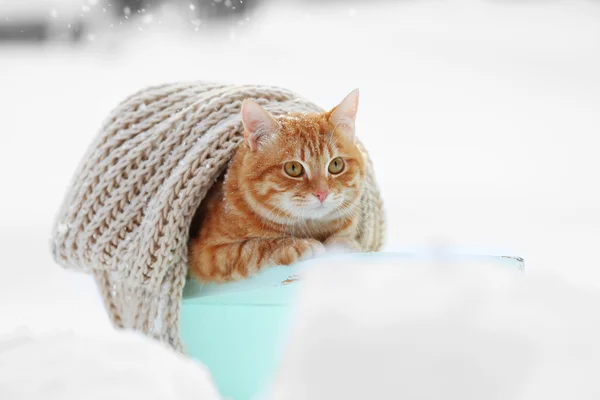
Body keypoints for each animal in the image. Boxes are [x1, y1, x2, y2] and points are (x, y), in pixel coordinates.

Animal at [188, 89, 366, 282]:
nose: (322, 193)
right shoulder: (209, 254)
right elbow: (253, 248)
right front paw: (297, 245)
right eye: (293, 168)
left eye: (336, 164)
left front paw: (343, 244)